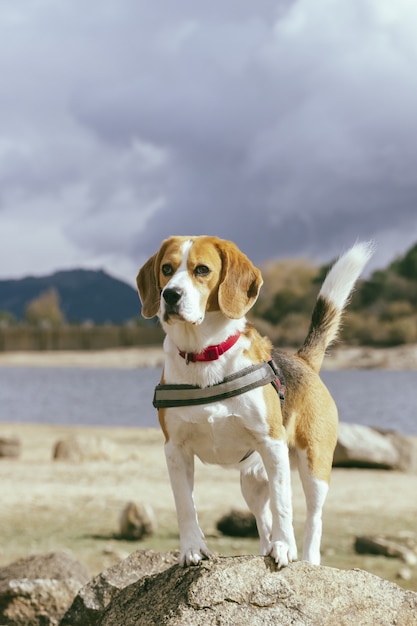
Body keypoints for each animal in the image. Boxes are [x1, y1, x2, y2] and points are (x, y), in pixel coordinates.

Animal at [137, 234, 374, 564]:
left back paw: (306, 558)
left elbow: (283, 505)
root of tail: (302, 359)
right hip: (251, 480)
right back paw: (265, 548)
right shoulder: (175, 450)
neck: (205, 354)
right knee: (263, 519)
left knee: (312, 516)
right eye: (166, 269)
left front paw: (285, 547)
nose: (170, 295)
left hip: (313, 464)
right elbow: (185, 505)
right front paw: (192, 549)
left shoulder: (272, 444)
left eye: (202, 270)